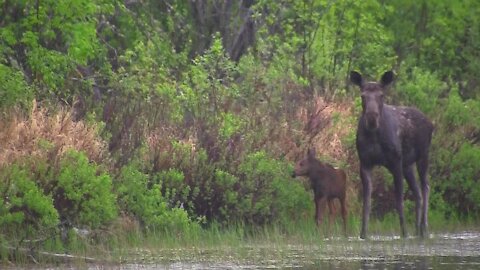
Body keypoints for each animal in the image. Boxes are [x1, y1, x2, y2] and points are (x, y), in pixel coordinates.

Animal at [348, 70, 436, 238]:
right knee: (417, 193)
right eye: (363, 95)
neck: (374, 135)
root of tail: (431, 123)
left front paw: (404, 233)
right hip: (407, 164)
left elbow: (399, 200)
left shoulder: (395, 162)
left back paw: (424, 228)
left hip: (423, 155)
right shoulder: (365, 163)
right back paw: (417, 229)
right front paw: (363, 234)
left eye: (381, 95)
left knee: (426, 187)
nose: (372, 117)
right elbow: (366, 202)